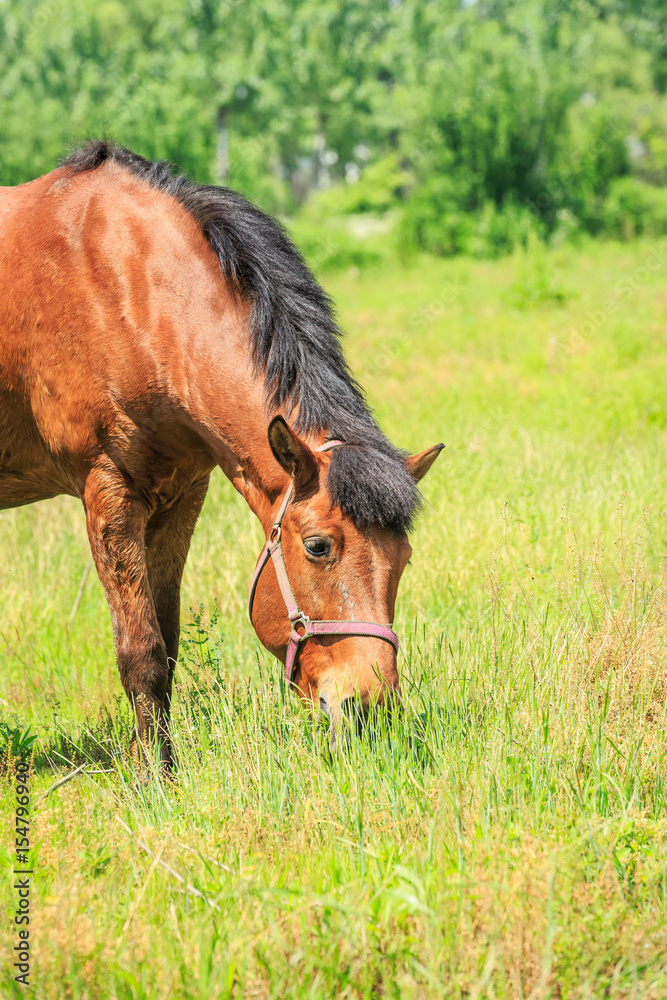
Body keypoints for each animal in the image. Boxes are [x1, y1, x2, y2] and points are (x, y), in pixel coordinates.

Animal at [1, 141, 444, 764]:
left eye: (402, 558)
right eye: (319, 546)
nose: (369, 710)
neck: (125, 289)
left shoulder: (181, 493)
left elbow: (166, 643)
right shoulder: (107, 489)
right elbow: (140, 651)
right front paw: (155, 777)